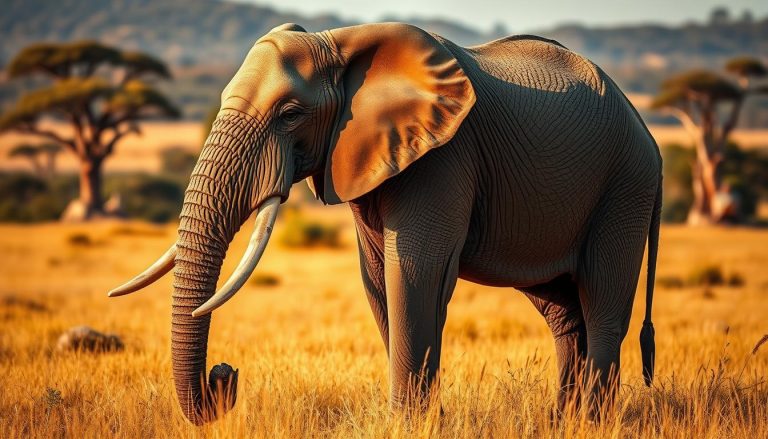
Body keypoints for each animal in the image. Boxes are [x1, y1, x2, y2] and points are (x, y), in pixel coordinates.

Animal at [109, 22, 661, 424]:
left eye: (290, 114)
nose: (224, 374)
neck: (341, 43)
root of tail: (648, 131)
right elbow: (377, 279)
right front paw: (425, 421)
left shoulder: (444, 157)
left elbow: (413, 272)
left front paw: (408, 424)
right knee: (563, 311)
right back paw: (561, 421)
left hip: (625, 185)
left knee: (602, 300)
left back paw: (591, 423)